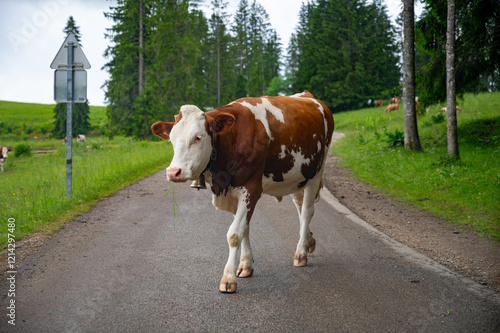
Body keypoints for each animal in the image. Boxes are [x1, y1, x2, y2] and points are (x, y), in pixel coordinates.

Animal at [150, 90, 334, 290]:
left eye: (198, 137)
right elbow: (244, 227)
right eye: (172, 139)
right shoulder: (234, 193)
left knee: (307, 211)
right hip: (298, 175)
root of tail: (307, 95)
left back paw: (301, 253)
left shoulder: (250, 189)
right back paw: (309, 241)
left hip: (316, 172)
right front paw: (246, 265)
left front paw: (228, 278)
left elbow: (234, 233)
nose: (173, 172)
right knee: (299, 206)